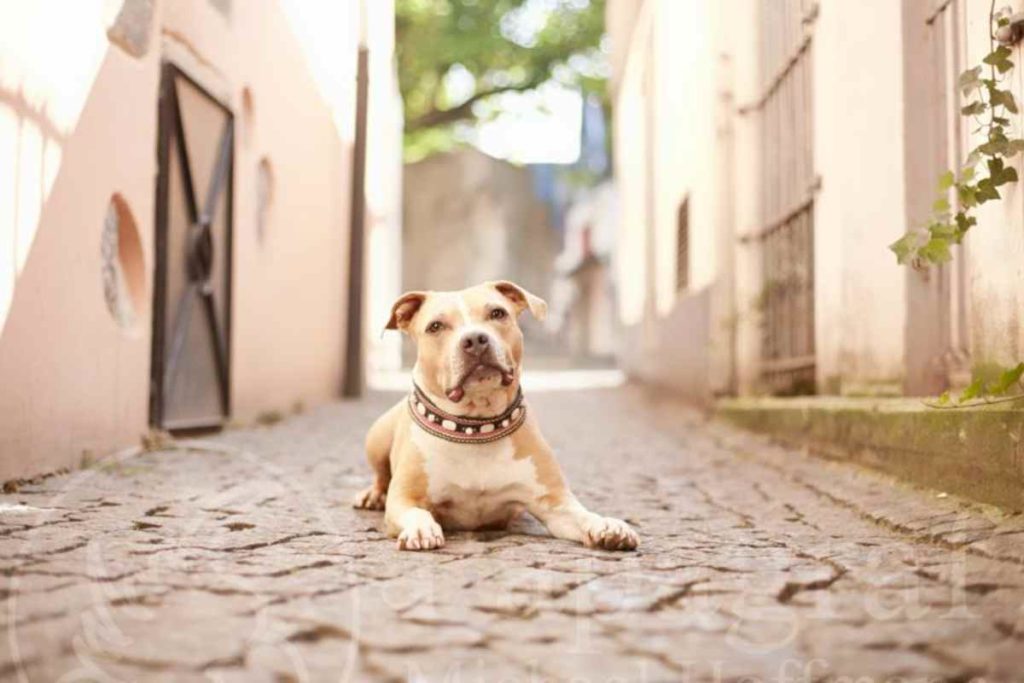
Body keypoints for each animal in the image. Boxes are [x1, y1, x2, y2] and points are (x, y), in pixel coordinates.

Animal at [356, 280, 634, 552]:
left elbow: (583, 515)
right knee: (381, 475)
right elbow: (416, 512)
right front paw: (421, 529)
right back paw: (372, 495)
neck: (475, 428)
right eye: (435, 326)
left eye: (497, 313)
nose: (474, 339)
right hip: (376, 439)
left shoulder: (555, 504)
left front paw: (607, 525)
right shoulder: (404, 499)